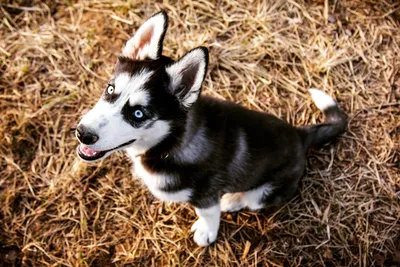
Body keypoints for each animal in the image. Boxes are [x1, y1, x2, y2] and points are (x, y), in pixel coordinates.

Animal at [75, 12, 346, 247]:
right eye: (110, 89)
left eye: (139, 114)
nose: (82, 132)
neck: (169, 143)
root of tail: (300, 135)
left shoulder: (205, 195)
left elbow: (208, 213)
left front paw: (207, 232)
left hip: (266, 192)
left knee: (252, 196)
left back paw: (233, 199)